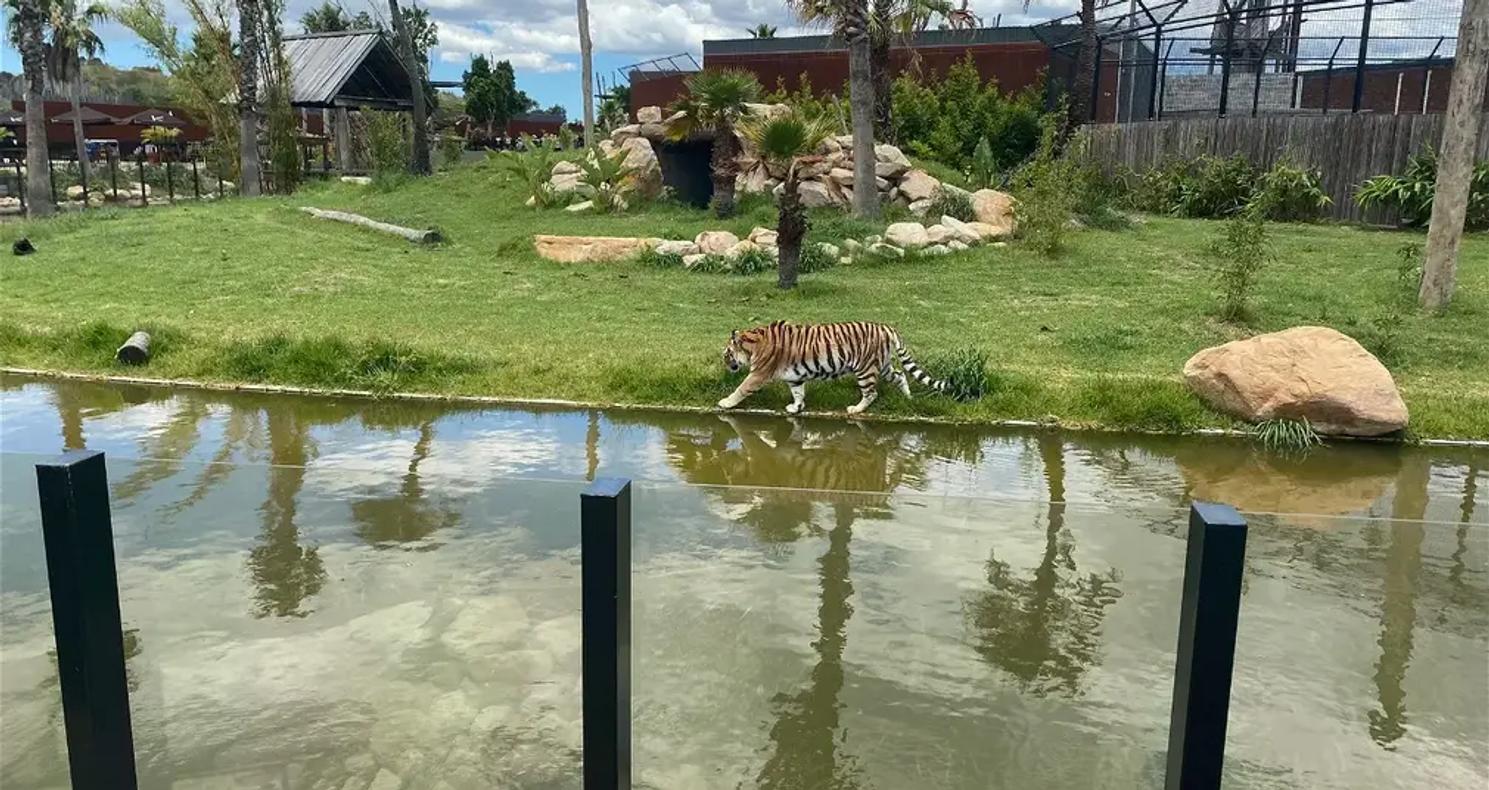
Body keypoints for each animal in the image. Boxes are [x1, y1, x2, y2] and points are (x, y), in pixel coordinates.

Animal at [718, 321, 954, 415]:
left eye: (728, 353)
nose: (725, 362)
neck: (754, 342)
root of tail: (886, 327)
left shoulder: (759, 373)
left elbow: (741, 388)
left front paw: (725, 403)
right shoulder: (794, 377)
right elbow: (798, 392)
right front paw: (796, 408)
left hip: (865, 369)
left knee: (872, 393)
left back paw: (856, 409)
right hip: (883, 365)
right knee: (900, 375)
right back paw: (908, 398)